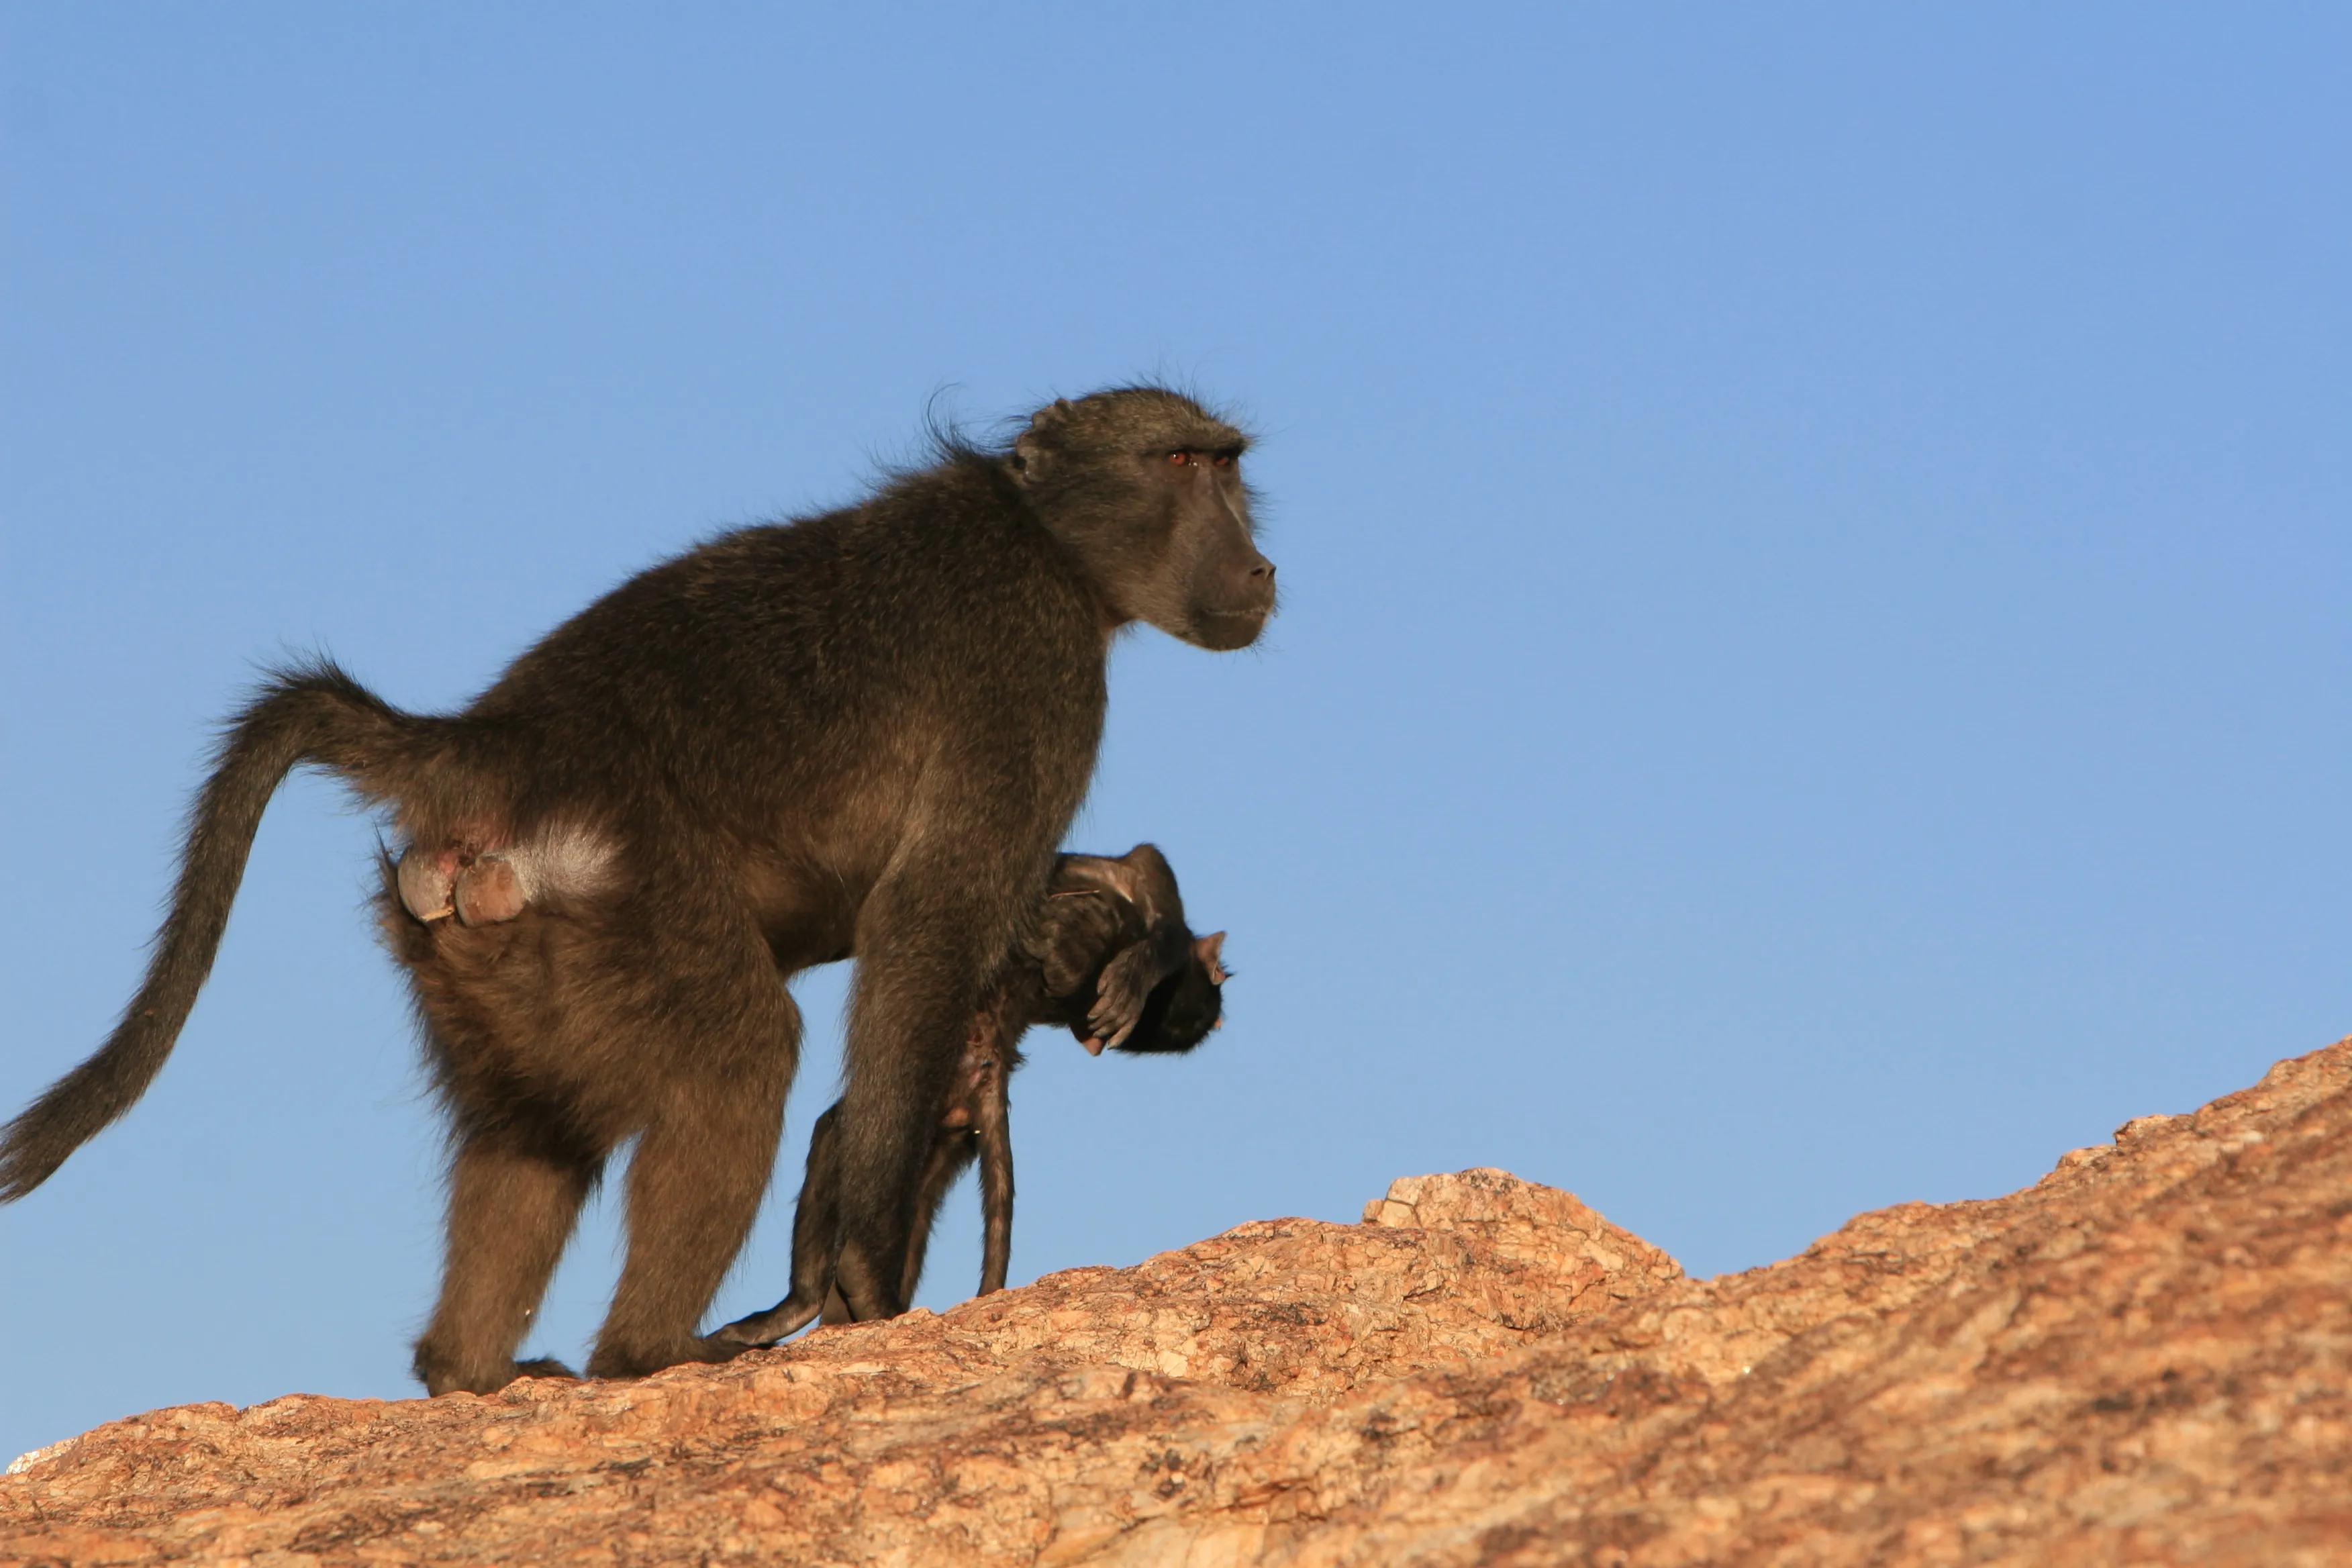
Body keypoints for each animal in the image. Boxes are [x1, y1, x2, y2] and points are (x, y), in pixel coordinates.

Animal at [716, 844, 1230, 1348]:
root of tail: (986, 1066)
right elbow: (1145, 878)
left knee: (853, 1134)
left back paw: (820, 1298)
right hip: (946, 1127)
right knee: (881, 1165)